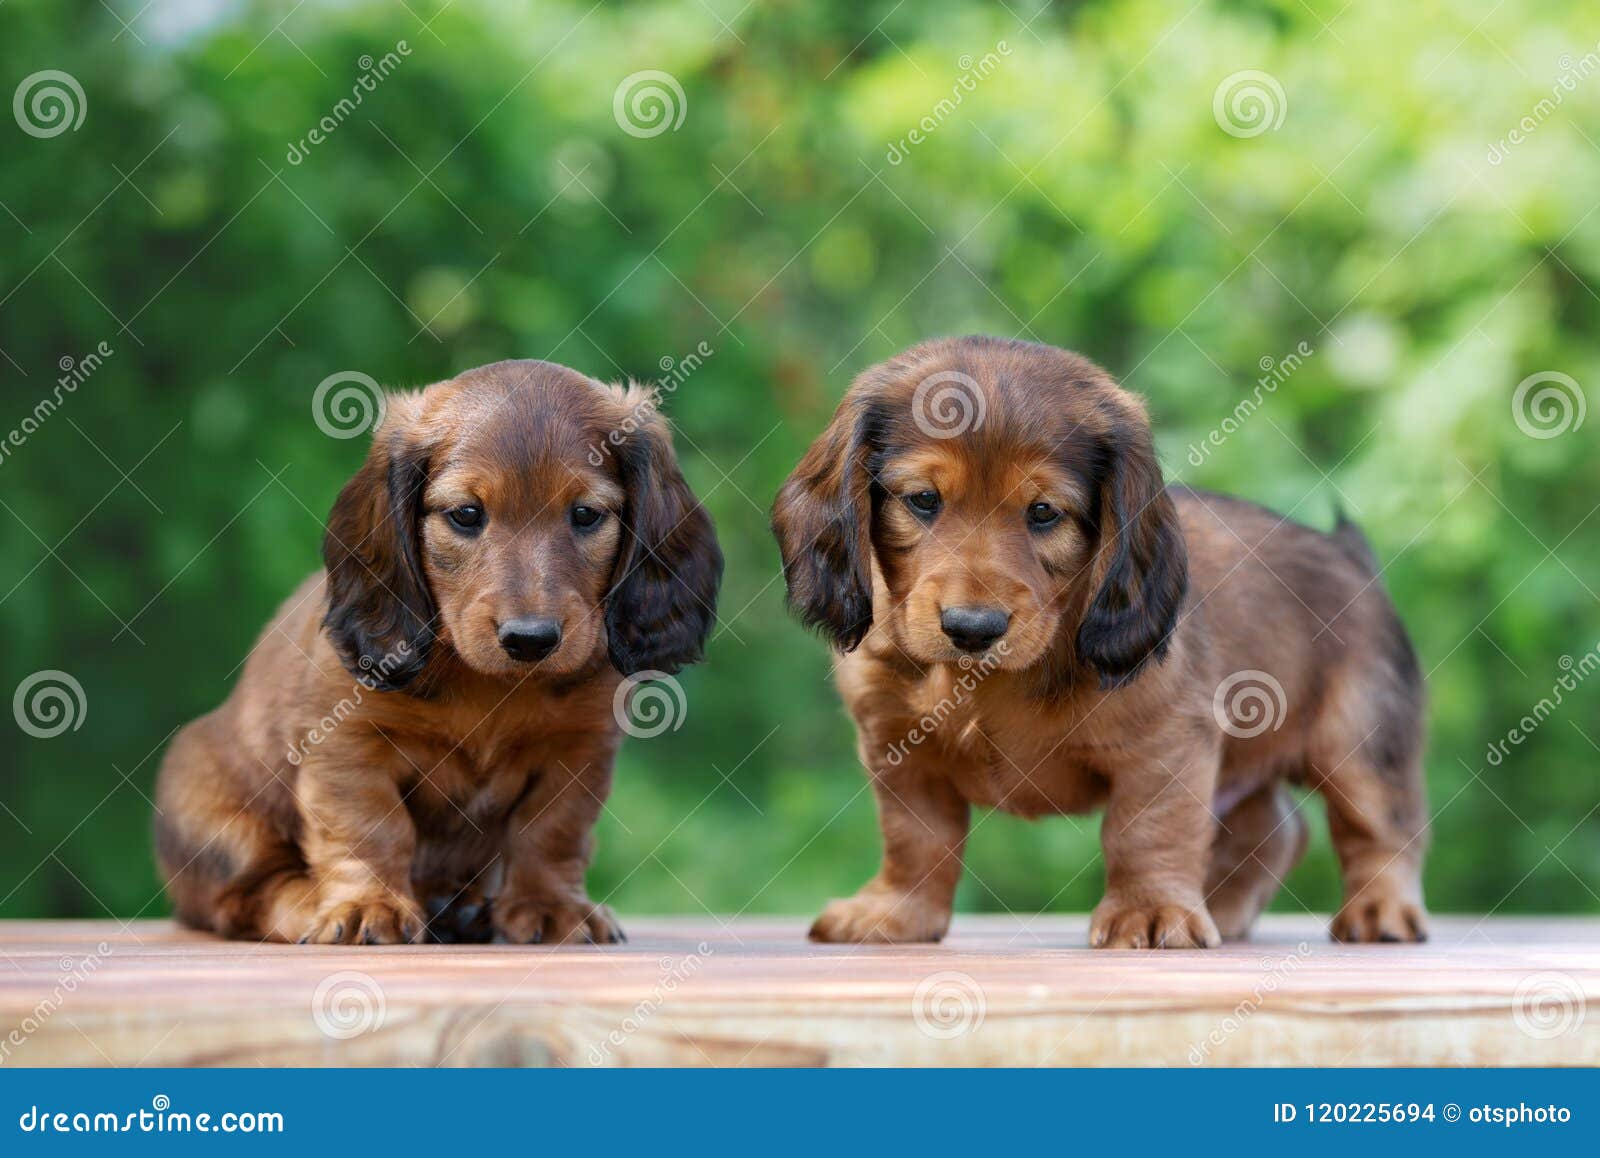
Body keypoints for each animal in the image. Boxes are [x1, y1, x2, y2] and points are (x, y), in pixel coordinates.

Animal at [154, 359, 720, 940]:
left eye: (586, 514)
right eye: (466, 514)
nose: (530, 639)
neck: (489, 687)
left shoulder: (579, 748)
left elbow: (551, 831)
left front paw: (550, 905)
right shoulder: (347, 743)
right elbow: (371, 827)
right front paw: (370, 904)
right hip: (215, 809)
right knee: (244, 896)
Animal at [771, 337, 1427, 946]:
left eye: (1043, 512)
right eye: (924, 500)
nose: (972, 629)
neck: (983, 682)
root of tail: (1348, 553)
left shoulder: (1164, 742)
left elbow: (1145, 830)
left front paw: (1151, 910)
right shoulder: (899, 749)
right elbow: (914, 838)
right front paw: (897, 912)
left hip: (1359, 743)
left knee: (1381, 831)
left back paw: (1380, 910)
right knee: (1276, 829)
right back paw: (1226, 908)